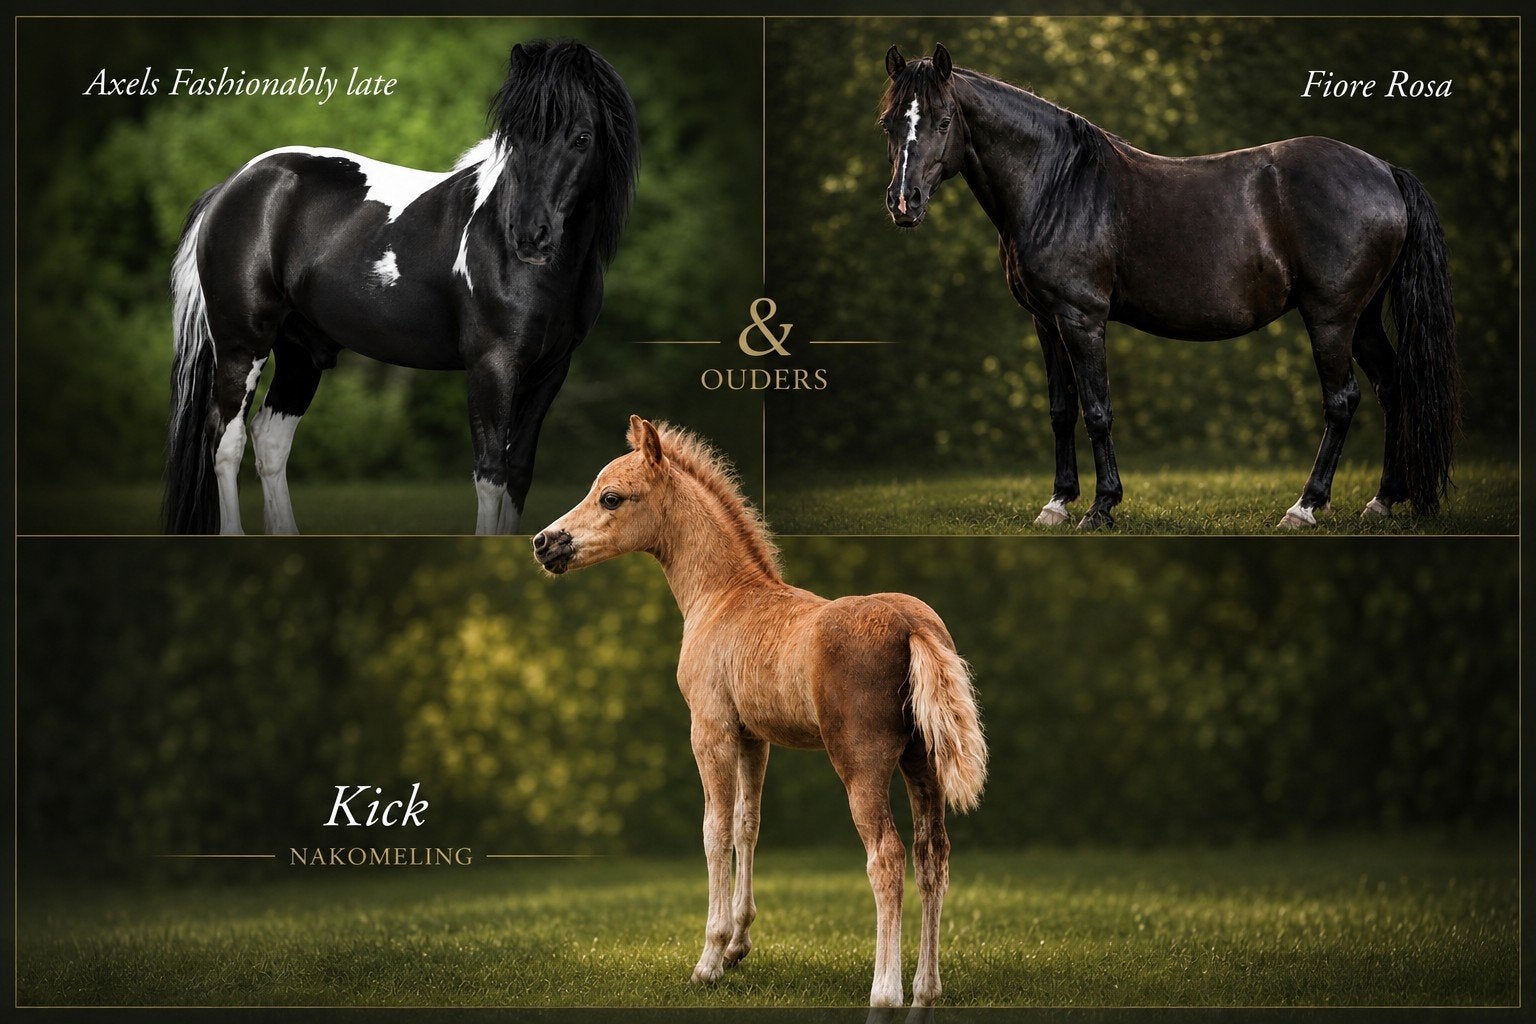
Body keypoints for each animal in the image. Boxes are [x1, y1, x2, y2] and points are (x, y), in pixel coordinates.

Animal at [164, 39, 639, 534]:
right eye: (515, 137)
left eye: (582, 138)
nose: (530, 236)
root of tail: (232, 186)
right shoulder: (492, 366)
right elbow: (491, 474)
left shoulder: (550, 371)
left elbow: (519, 475)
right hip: (242, 344)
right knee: (226, 440)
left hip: (300, 352)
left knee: (270, 440)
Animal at [533, 416, 988, 1008]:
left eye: (610, 497)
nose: (544, 543)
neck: (723, 596)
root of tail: (913, 626)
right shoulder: (754, 737)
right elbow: (747, 825)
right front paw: (737, 946)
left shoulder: (709, 730)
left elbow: (714, 831)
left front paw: (709, 959)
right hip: (921, 761)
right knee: (933, 854)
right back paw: (926, 990)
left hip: (861, 762)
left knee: (886, 857)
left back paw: (885, 992)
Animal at [880, 44, 1459, 530]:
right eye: (889, 122)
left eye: (944, 120)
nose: (904, 202)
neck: (1059, 185)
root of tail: (1384, 170)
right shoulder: (1046, 321)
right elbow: (1061, 411)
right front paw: (1057, 504)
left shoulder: (1081, 318)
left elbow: (1097, 410)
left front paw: (1101, 507)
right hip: (1362, 318)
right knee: (1392, 386)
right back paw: (1383, 500)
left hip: (1331, 317)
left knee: (1342, 400)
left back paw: (1305, 507)